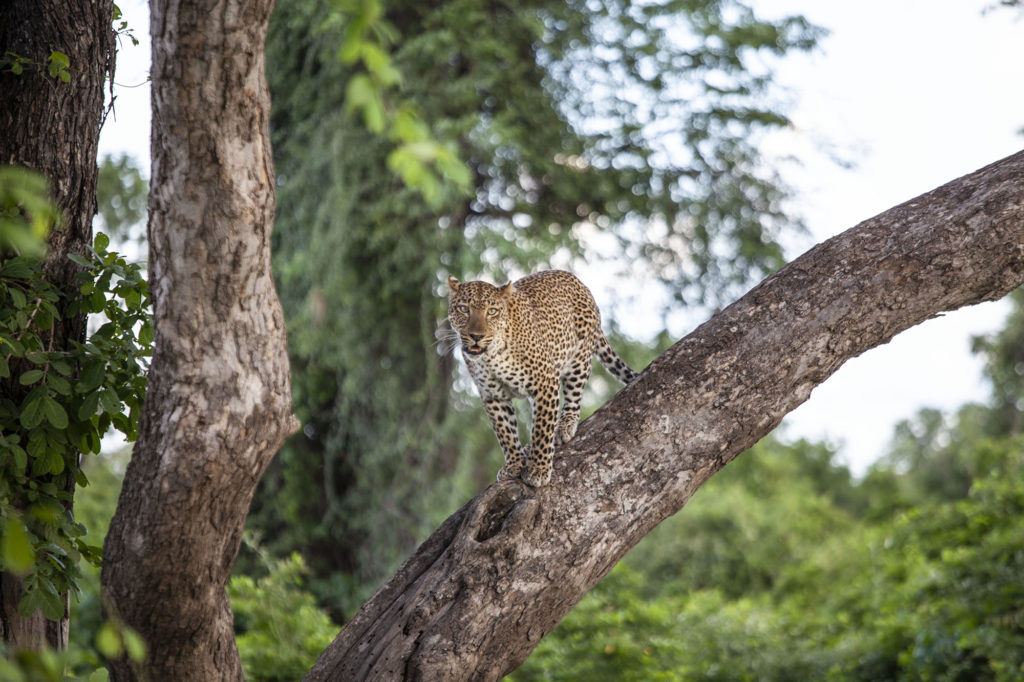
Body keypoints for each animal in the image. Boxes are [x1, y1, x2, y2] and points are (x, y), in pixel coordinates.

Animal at [448, 268, 638, 485]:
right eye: (463, 308)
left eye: (492, 311)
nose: (476, 336)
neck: (490, 356)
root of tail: (579, 282)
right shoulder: (492, 395)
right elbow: (505, 432)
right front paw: (514, 464)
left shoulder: (545, 382)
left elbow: (542, 428)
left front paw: (538, 469)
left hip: (579, 358)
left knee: (572, 397)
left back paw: (564, 425)